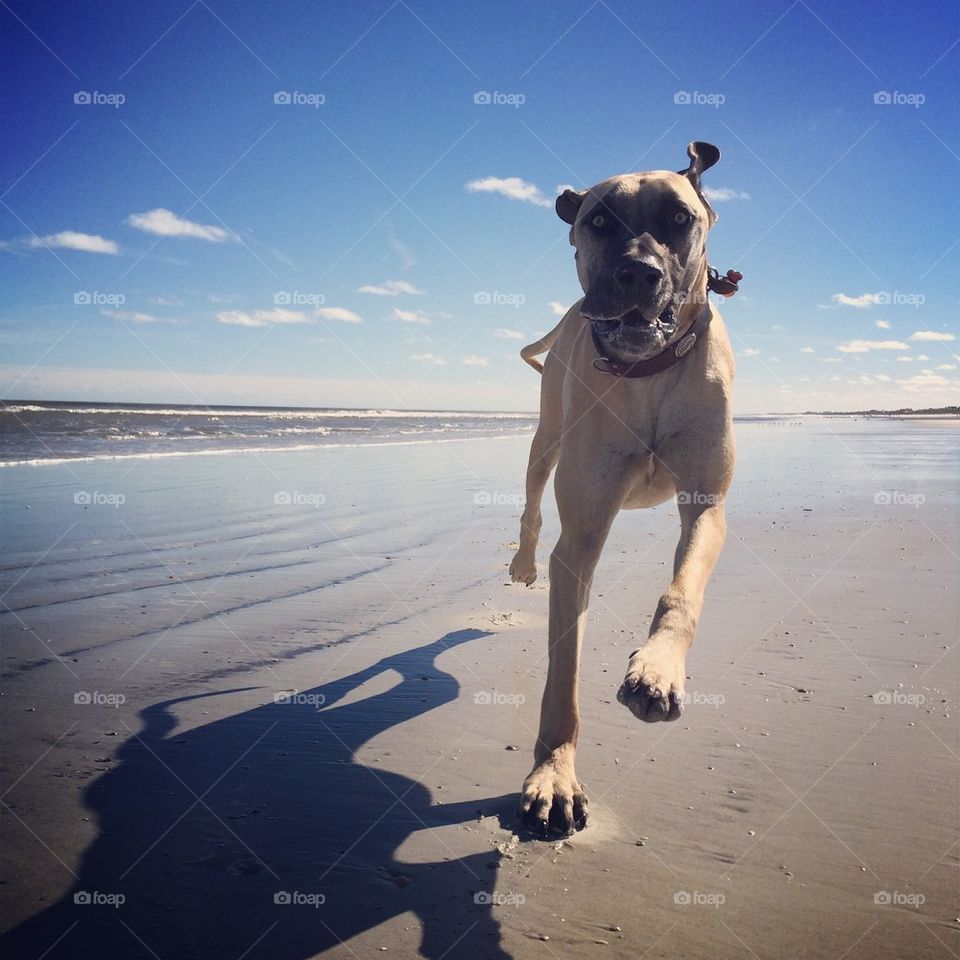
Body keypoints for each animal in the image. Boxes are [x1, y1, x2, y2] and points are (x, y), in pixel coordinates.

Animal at [510, 144, 736, 840]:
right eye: (599, 222)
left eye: (680, 219)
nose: (638, 274)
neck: (648, 373)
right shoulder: (579, 542)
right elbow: (563, 678)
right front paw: (554, 774)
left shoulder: (706, 507)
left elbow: (681, 594)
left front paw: (657, 671)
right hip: (547, 436)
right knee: (531, 504)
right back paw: (520, 562)